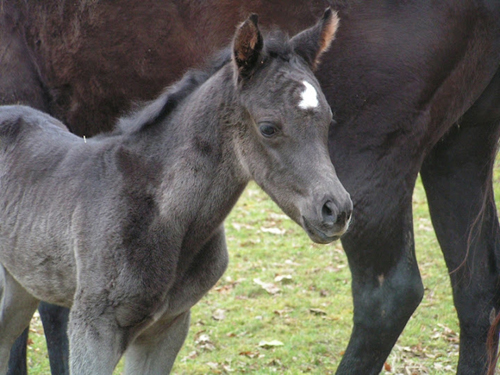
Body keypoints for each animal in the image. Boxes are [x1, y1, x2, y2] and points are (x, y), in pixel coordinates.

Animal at [0, 9, 352, 375]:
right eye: (268, 127)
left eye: (328, 120)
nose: (336, 210)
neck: (165, 219)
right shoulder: (93, 327)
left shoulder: (168, 327)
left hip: (21, 284)